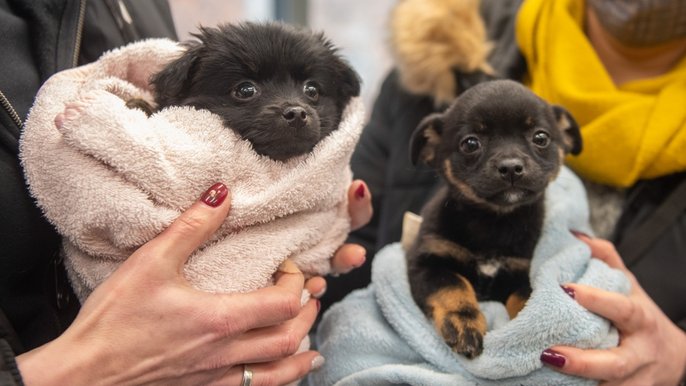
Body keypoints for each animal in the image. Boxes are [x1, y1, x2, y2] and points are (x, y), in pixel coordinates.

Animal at [408, 79, 584, 358]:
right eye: (470, 143)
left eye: (541, 138)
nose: (511, 167)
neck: (494, 220)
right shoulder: (428, 262)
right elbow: (453, 286)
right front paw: (465, 323)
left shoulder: (523, 270)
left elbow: (526, 297)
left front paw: (527, 329)